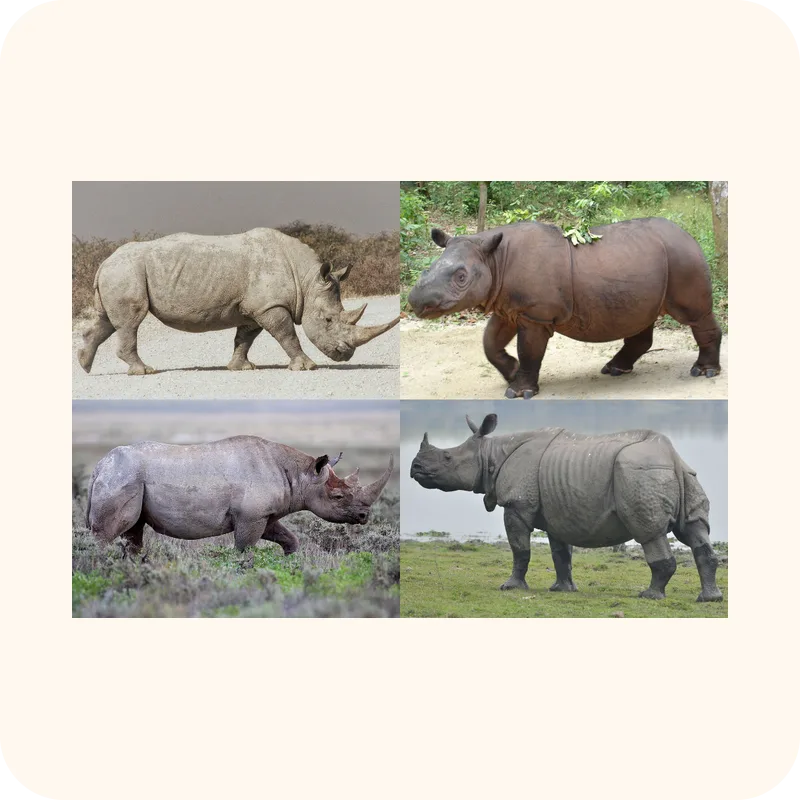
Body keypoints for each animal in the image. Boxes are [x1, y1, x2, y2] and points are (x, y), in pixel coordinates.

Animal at [78, 227, 399, 375]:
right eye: (329, 320)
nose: (345, 355)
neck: (307, 280)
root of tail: (103, 263)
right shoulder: (270, 306)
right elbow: (287, 335)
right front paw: (307, 367)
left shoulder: (254, 308)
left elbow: (245, 338)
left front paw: (241, 368)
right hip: (125, 272)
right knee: (130, 322)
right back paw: (144, 372)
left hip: (120, 273)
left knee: (108, 321)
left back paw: (84, 365)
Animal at [85, 435, 394, 554]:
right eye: (338, 498)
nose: (364, 516)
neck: (302, 474)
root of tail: (99, 466)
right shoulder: (250, 516)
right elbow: (244, 550)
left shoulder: (263, 514)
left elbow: (289, 538)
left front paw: (290, 562)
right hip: (122, 476)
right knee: (109, 533)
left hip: (126, 477)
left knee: (133, 533)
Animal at [407, 218, 722, 398]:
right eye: (426, 269)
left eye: (461, 277)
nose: (416, 302)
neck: (493, 259)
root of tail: (690, 235)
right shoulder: (508, 308)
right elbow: (490, 343)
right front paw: (511, 371)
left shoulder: (535, 315)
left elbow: (529, 350)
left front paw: (518, 392)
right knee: (641, 318)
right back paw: (614, 369)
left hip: (683, 258)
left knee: (695, 315)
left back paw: (703, 373)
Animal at [409, 414, 723, 602]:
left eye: (447, 458)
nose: (414, 468)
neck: (490, 454)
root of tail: (671, 456)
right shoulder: (558, 509)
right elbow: (560, 554)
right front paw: (562, 590)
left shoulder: (517, 504)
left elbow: (520, 550)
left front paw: (510, 587)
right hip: (683, 475)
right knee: (695, 530)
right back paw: (709, 599)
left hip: (639, 473)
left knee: (649, 532)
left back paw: (649, 596)